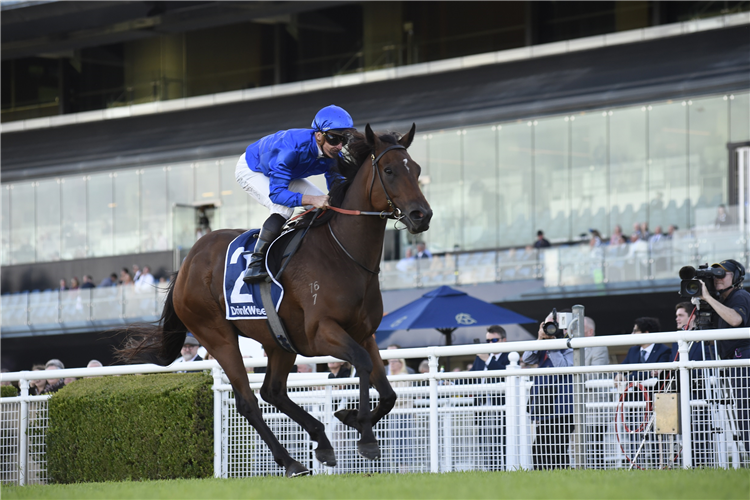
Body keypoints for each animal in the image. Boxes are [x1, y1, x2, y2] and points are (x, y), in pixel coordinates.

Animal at [118, 124, 434, 476]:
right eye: (389, 171)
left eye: (416, 169)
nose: (421, 215)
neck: (342, 255)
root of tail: (187, 263)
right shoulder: (320, 333)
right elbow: (363, 364)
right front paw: (364, 435)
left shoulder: (364, 334)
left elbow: (388, 392)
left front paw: (349, 416)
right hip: (216, 335)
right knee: (248, 401)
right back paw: (292, 460)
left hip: (278, 340)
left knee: (273, 391)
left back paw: (320, 442)